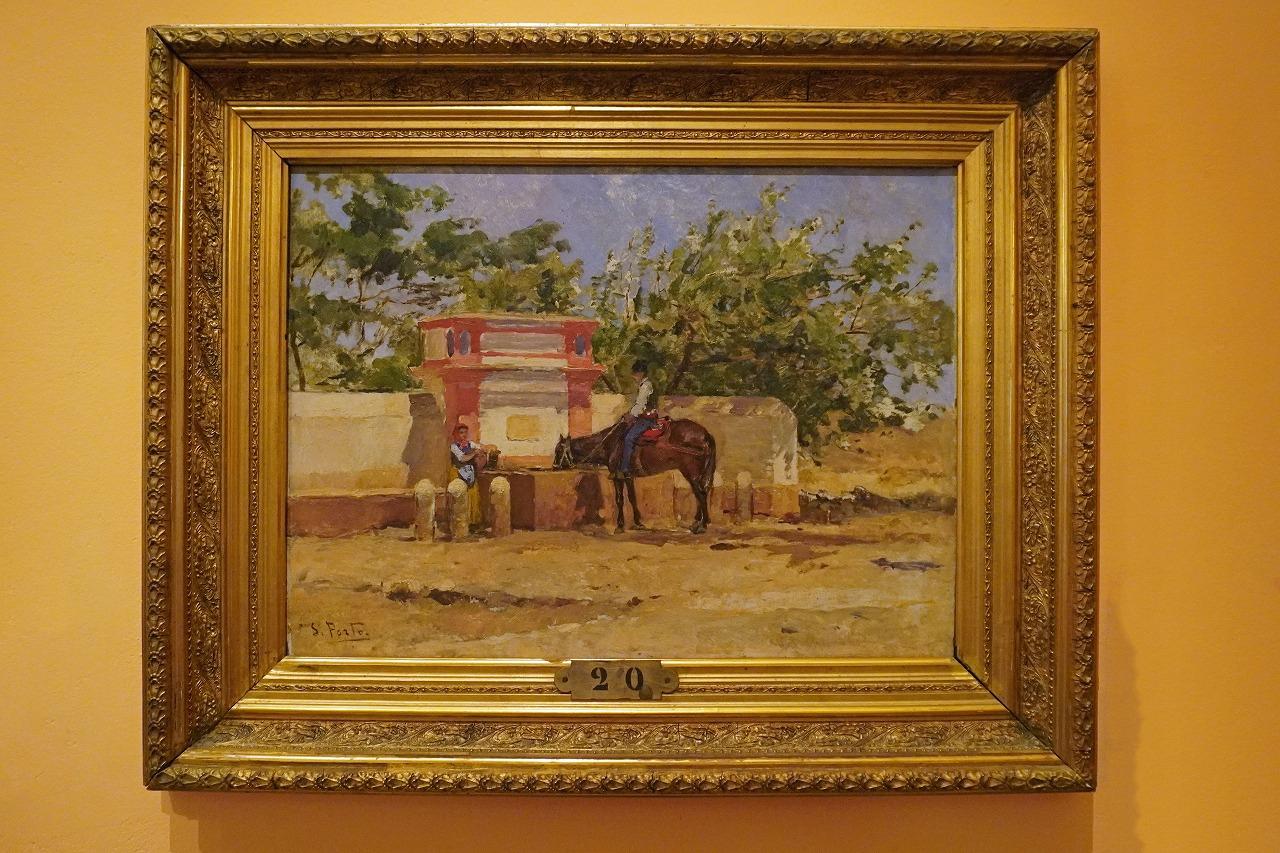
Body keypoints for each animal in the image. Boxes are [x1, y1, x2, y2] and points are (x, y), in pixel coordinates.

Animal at [553, 419, 717, 534]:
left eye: (559, 450)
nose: (554, 467)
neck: (610, 443)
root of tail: (705, 434)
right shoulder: (628, 476)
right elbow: (632, 498)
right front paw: (638, 523)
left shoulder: (618, 476)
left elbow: (620, 500)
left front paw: (620, 526)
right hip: (696, 474)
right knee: (701, 492)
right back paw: (697, 522)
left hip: (691, 472)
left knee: (701, 494)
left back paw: (702, 525)